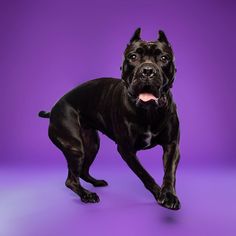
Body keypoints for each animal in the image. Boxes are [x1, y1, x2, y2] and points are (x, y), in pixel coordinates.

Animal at [38, 28, 181, 210]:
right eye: (133, 56)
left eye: (164, 58)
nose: (148, 70)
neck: (148, 111)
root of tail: (53, 110)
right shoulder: (127, 150)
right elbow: (145, 175)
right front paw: (158, 193)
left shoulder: (172, 145)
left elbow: (169, 173)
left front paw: (168, 195)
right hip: (74, 147)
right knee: (71, 179)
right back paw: (87, 195)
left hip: (92, 145)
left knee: (82, 171)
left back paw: (96, 182)